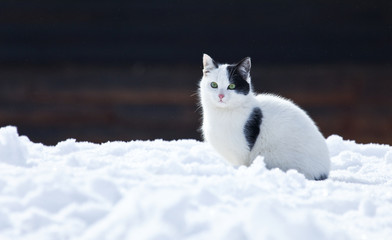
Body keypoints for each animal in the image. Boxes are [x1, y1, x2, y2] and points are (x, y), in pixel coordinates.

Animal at [199, 53, 330, 179]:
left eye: (231, 86)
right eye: (214, 85)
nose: (221, 96)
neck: (222, 113)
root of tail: (324, 171)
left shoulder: (243, 153)